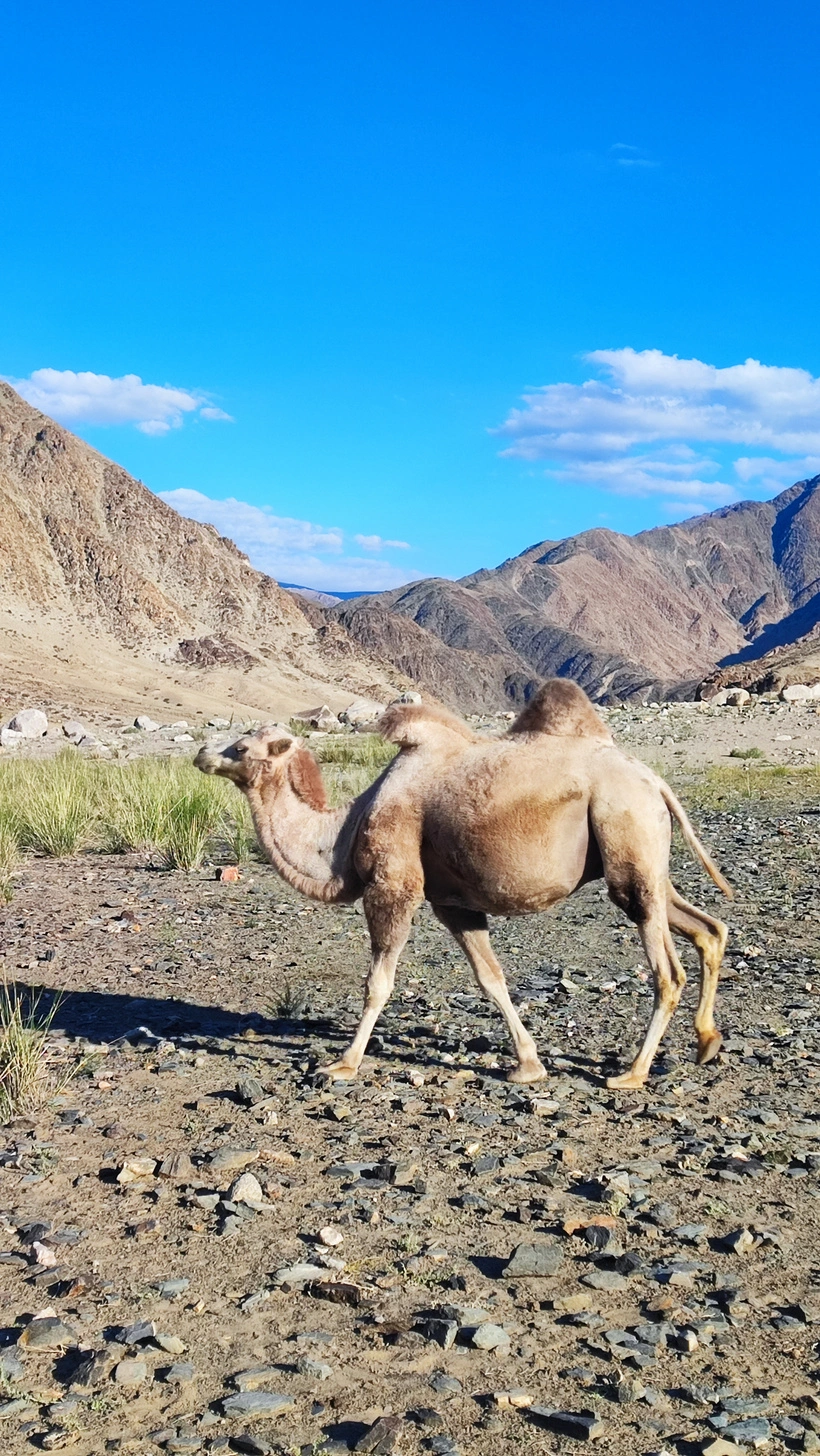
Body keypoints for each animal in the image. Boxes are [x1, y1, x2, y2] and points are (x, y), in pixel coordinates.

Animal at [194, 680, 731, 1090]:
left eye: (241, 748)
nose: (201, 753)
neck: (343, 832)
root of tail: (653, 780)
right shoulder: (452, 904)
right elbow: (490, 978)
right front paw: (528, 1066)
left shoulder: (393, 886)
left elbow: (377, 983)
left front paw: (343, 1064)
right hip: (646, 860)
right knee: (707, 927)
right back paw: (706, 1043)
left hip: (624, 829)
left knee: (667, 969)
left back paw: (632, 1073)